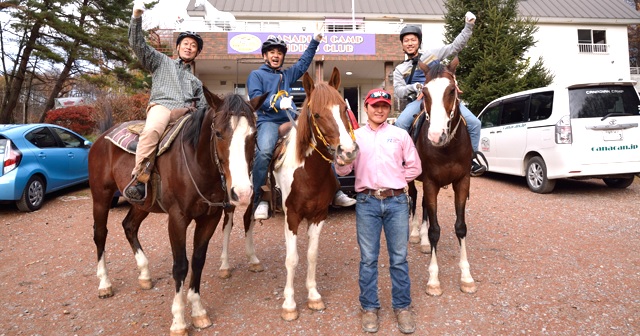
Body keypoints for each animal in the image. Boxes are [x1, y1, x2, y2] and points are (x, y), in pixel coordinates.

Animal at [88, 90, 264, 336]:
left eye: (253, 134)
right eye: (218, 133)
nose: (243, 192)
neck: (197, 164)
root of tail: (104, 136)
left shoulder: (209, 218)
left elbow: (198, 261)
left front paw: (198, 312)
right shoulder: (178, 219)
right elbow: (180, 266)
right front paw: (179, 321)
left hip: (142, 203)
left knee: (129, 226)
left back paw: (144, 274)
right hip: (101, 197)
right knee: (100, 234)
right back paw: (104, 284)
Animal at [408, 57, 478, 296]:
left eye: (451, 90)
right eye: (425, 92)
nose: (436, 135)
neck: (447, 148)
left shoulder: (462, 182)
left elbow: (461, 227)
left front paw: (466, 277)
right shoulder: (430, 183)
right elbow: (435, 230)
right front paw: (433, 280)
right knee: (413, 201)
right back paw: (414, 234)